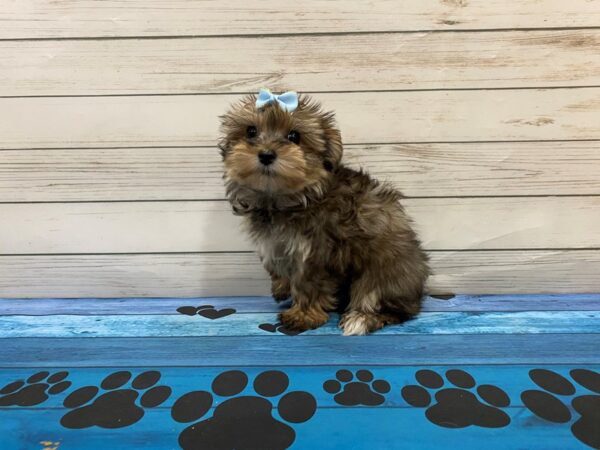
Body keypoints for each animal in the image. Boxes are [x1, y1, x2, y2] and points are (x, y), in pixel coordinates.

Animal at [220, 89, 432, 334]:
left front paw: (302, 315)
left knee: (379, 298)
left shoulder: (315, 252)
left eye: (294, 136)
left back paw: (361, 318)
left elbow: (308, 283)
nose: (266, 154)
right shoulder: (276, 243)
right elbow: (277, 265)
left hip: (386, 270)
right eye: (251, 131)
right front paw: (281, 288)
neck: (286, 198)